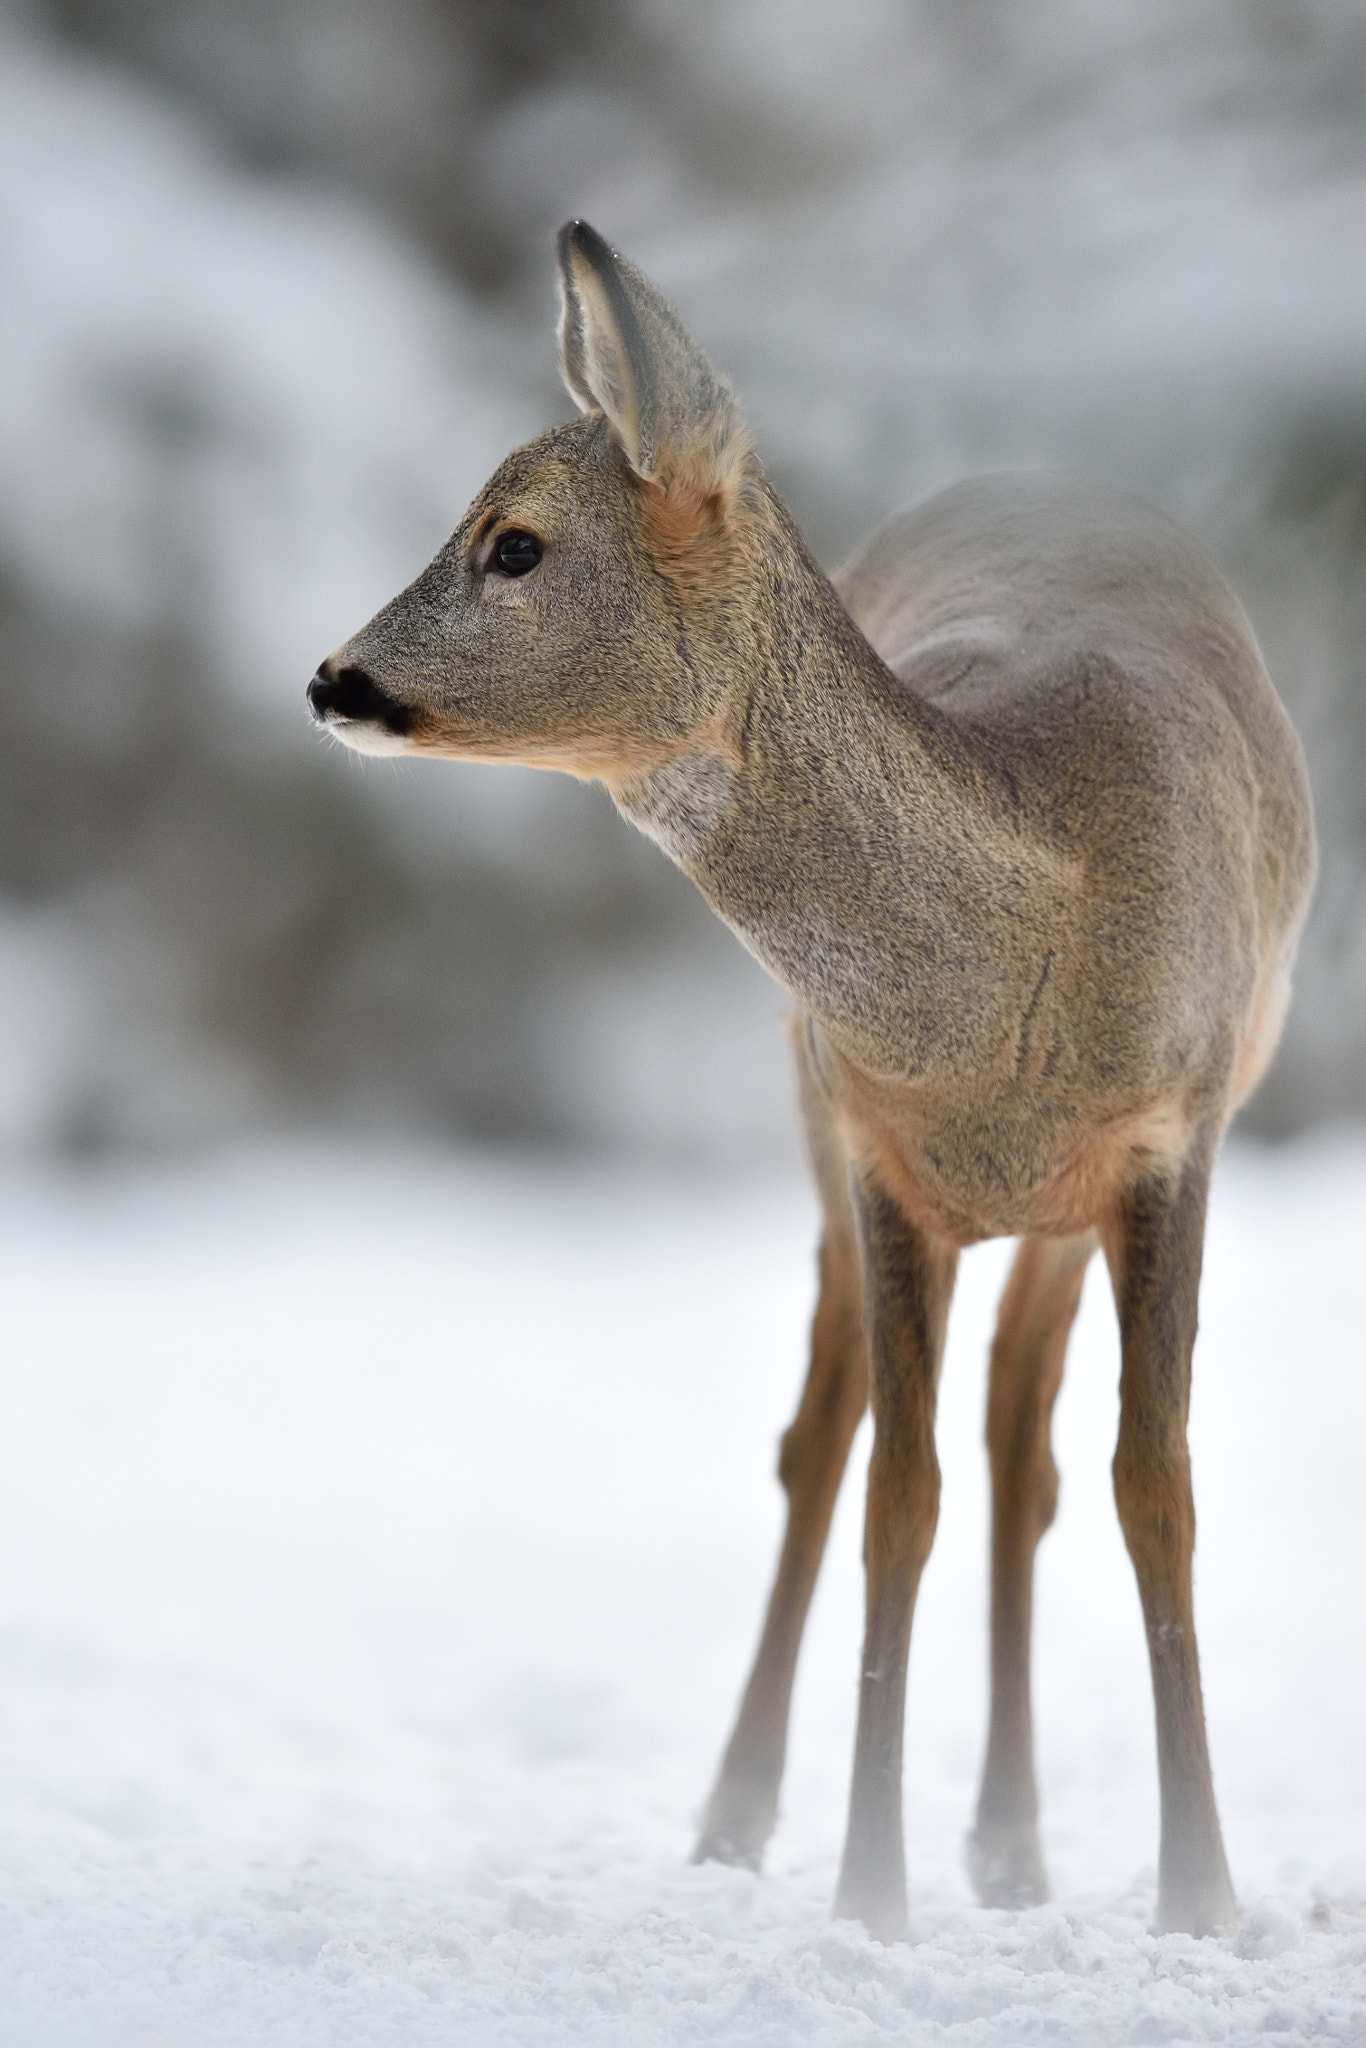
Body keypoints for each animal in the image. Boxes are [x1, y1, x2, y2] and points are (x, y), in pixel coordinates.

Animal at [307, 220, 1310, 1933]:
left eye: (514, 545)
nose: (330, 679)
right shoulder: (874, 1143)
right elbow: (891, 1496)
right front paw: (864, 1897)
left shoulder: (1168, 1137)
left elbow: (1152, 1486)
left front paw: (1200, 1902)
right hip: (809, 1113)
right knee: (830, 1435)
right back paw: (748, 1822)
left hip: (1058, 1201)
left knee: (1023, 1444)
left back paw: (1012, 1849)